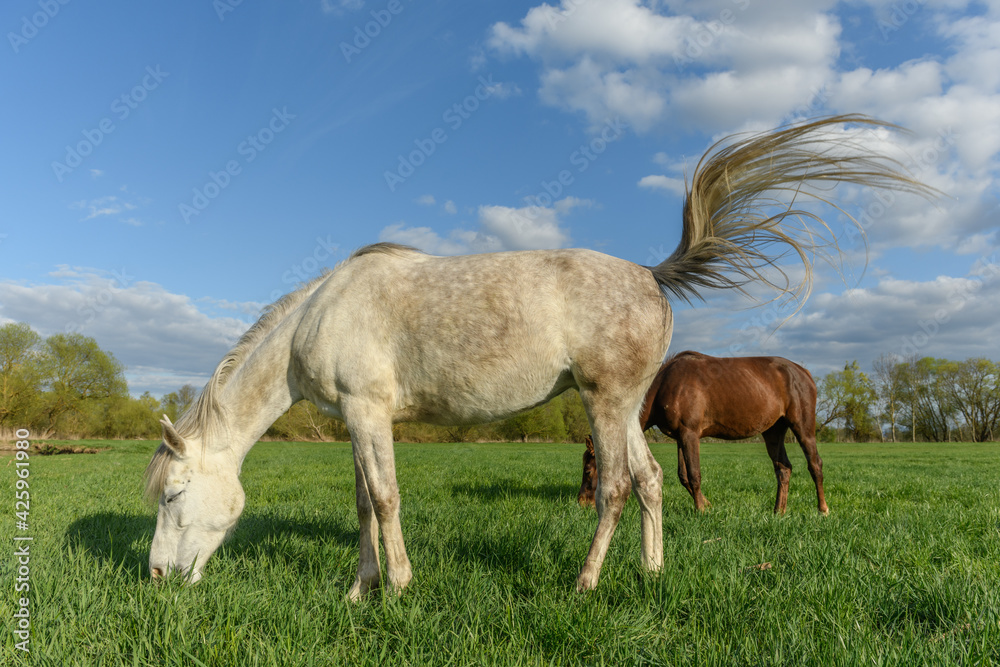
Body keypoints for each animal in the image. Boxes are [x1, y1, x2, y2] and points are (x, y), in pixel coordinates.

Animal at [577, 352, 828, 515]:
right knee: (783, 468)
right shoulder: (680, 438)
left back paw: (822, 509)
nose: (582, 502)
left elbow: (695, 474)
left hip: (803, 428)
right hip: (773, 432)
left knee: (815, 465)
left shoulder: (690, 434)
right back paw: (779, 511)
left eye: (588, 471)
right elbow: (684, 476)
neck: (666, 384)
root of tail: (803, 372)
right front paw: (707, 504)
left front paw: (700, 510)